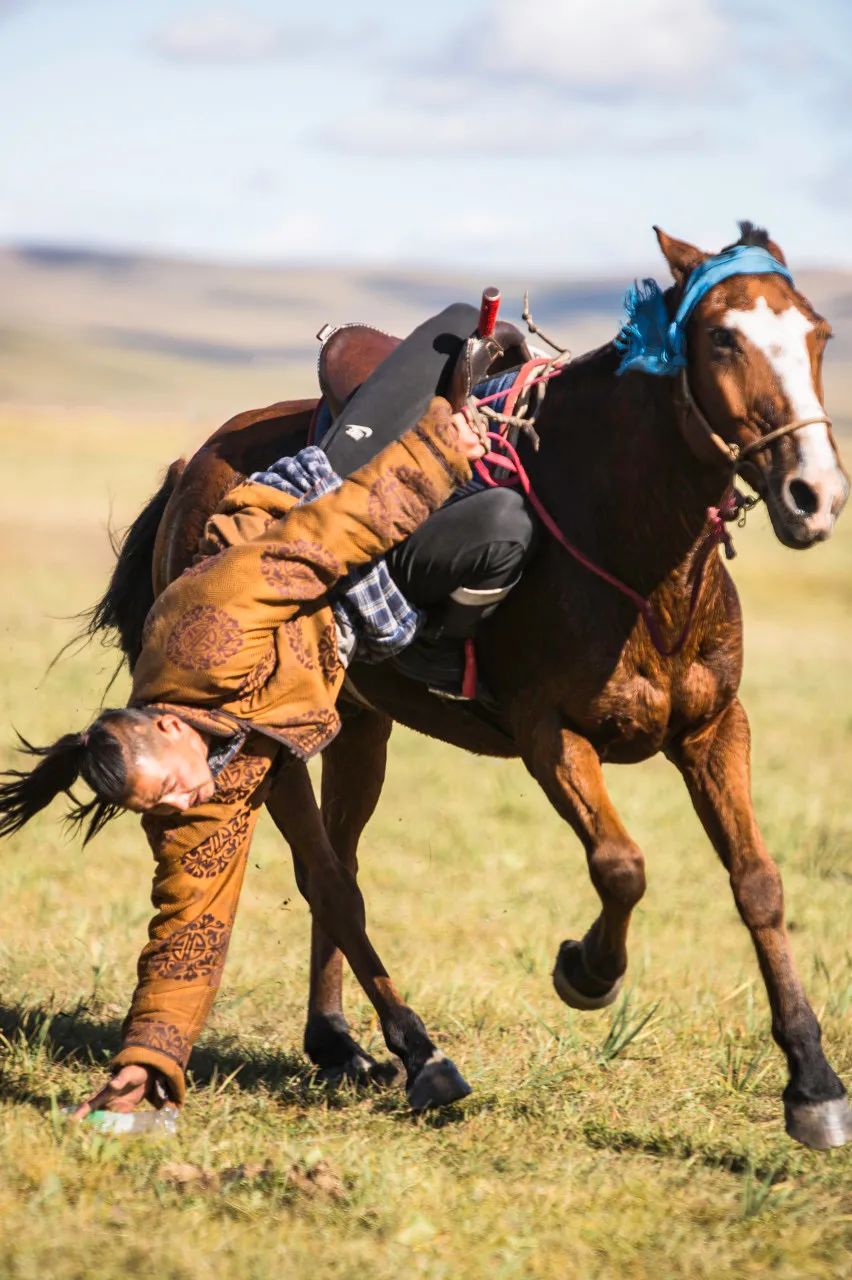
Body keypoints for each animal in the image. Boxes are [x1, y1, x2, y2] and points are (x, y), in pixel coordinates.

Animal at [87, 225, 849, 1146]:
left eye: (818, 336)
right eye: (722, 340)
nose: (814, 494)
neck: (632, 552)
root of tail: (193, 462)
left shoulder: (714, 730)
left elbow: (758, 884)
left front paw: (812, 1082)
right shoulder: (549, 735)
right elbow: (621, 866)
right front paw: (586, 971)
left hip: (360, 727)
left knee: (340, 862)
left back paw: (336, 1041)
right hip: (274, 744)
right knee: (330, 880)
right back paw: (420, 1054)